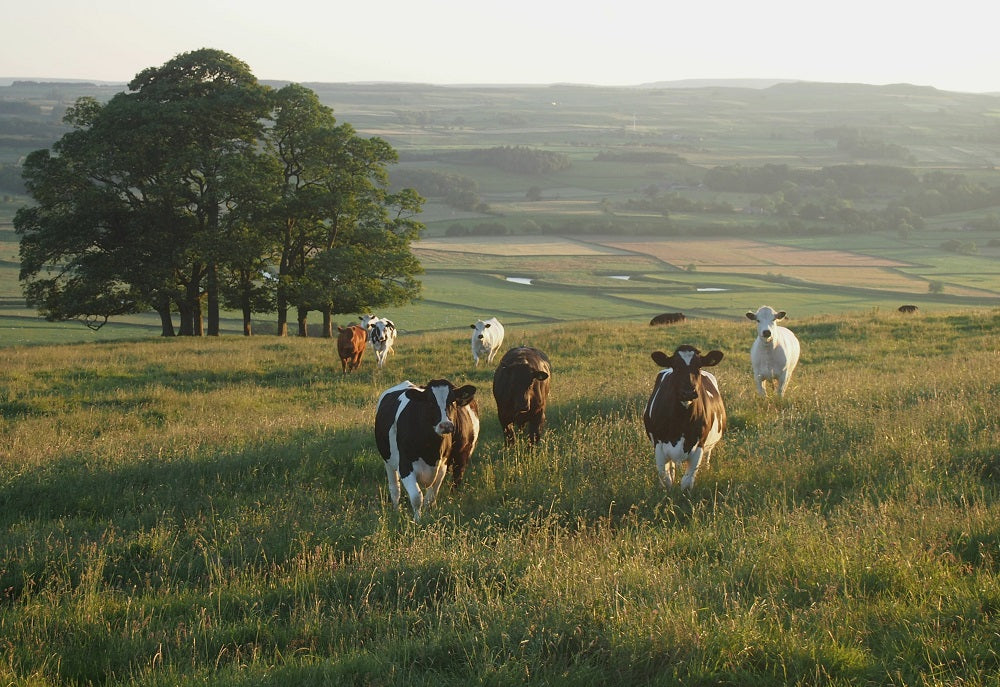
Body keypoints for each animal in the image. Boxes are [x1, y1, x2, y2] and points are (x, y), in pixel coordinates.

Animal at [376, 376, 482, 520]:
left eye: (452, 401)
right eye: (430, 402)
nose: (446, 425)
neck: (430, 449)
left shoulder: (443, 466)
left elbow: (430, 497)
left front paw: (427, 515)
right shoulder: (405, 466)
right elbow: (416, 497)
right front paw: (417, 520)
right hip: (387, 460)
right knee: (395, 489)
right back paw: (396, 511)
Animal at [640, 346, 728, 492]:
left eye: (698, 366)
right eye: (676, 366)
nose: (688, 392)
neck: (681, 421)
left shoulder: (699, 445)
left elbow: (687, 482)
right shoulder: (659, 445)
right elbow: (666, 479)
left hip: (709, 446)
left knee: (707, 458)